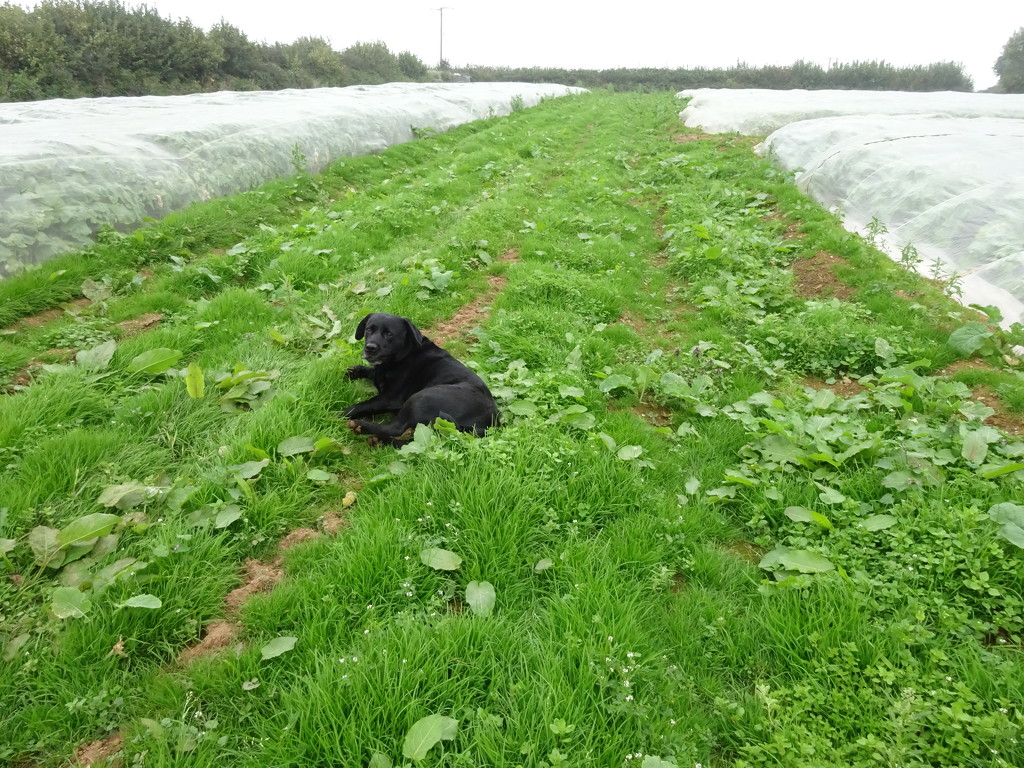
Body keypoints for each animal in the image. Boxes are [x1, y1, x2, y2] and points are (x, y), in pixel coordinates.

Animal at [344, 311, 499, 444]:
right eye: (369, 330)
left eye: (389, 334)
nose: (370, 347)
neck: (403, 355)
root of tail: (491, 423)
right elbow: (371, 372)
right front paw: (356, 370)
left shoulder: (390, 398)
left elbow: (362, 406)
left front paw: (341, 412)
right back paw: (380, 440)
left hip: (421, 398)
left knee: (396, 428)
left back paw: (360, 426)